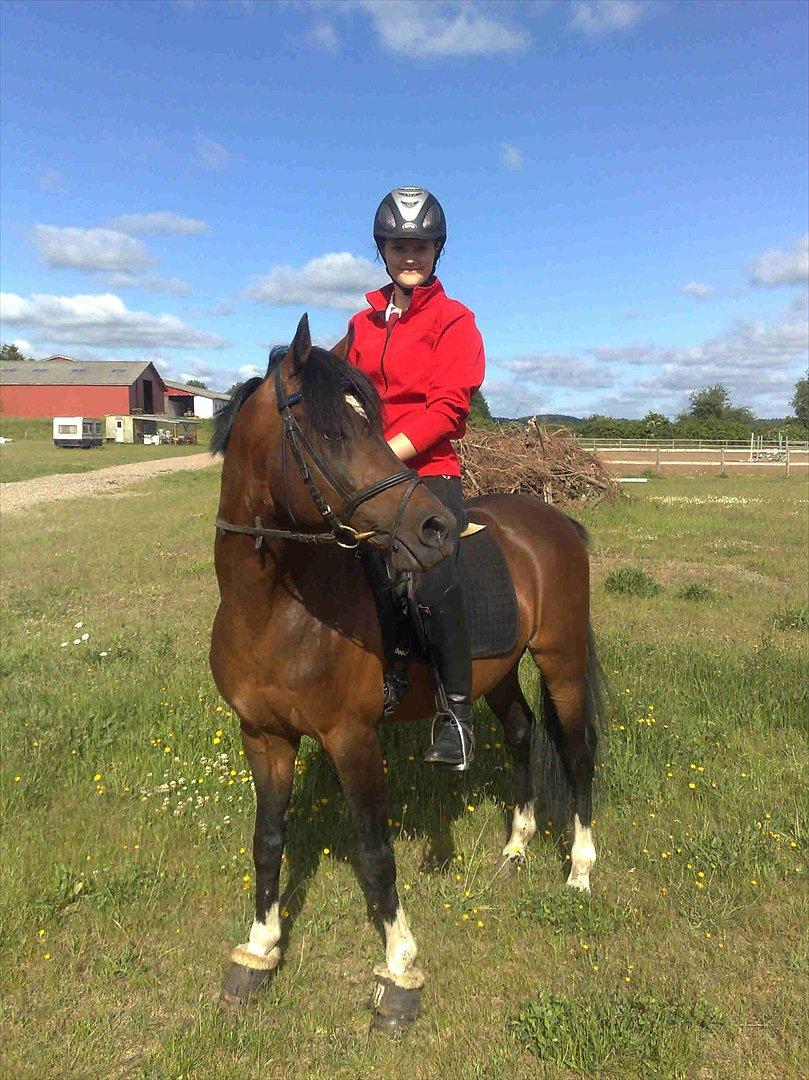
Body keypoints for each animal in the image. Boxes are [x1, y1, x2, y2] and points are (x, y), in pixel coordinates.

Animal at [209, 314, 604, 1031]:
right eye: (333, 432)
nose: (434, 528)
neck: (275, 609)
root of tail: (554, 519)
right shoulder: (263, 735)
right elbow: (268, 840)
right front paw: (258, 951)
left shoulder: (352, 738)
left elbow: (375, 853)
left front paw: (399, 969)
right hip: (496, 675)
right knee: (522, 734)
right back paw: (515, 847)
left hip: (559, 660)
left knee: (577, 752)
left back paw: (579, 871)